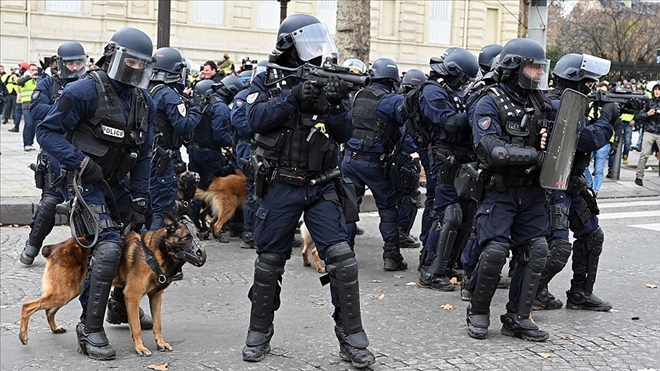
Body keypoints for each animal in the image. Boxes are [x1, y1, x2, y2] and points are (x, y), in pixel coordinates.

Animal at [18, 218, 206, 358]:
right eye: (186, 238)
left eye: (198, 235)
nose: (201, 254)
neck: (156, 252)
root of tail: (55, 247)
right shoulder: (132, 296)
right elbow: (136, 327)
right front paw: (140, 348)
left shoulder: (156, 297)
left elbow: (158, 324)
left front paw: (161, 343)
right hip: (64, 292)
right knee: (27, 306)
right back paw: (24, 336)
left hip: (69, 292)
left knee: (48, 310)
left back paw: (55, 328)